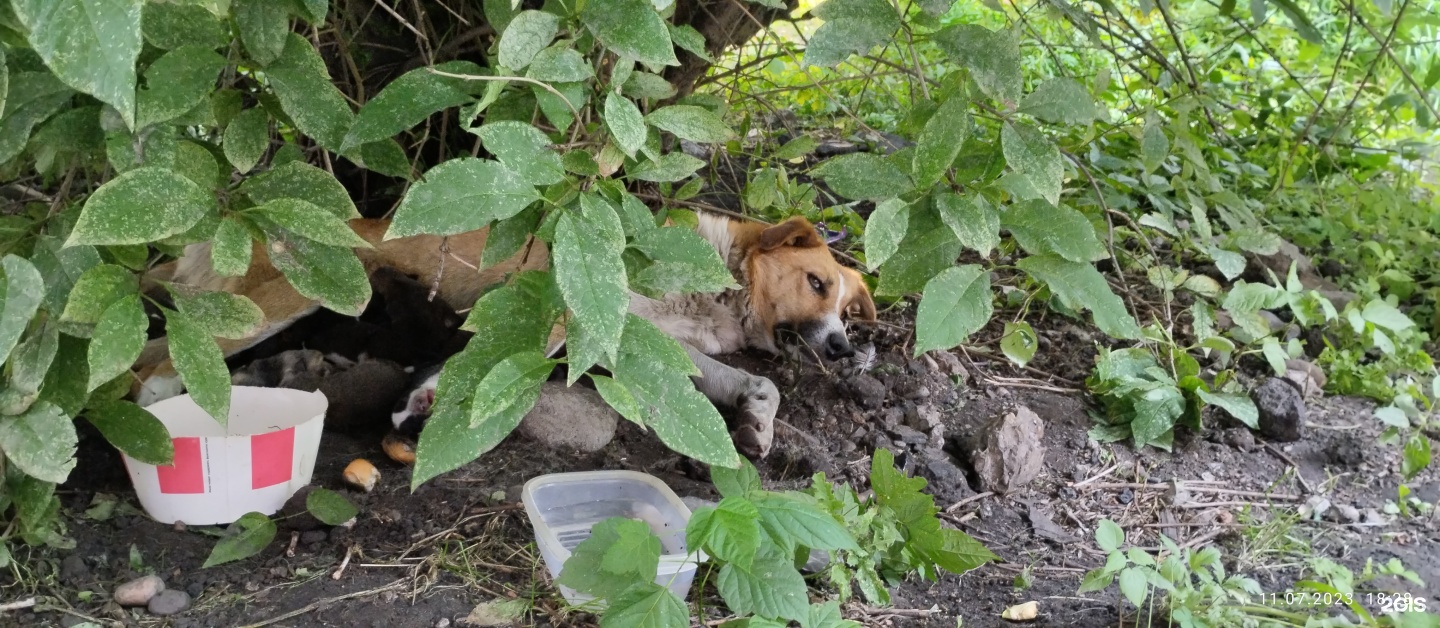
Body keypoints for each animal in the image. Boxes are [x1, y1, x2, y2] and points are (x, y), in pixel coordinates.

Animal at [135, 213, 875, 458]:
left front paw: (756, 423)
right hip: (269, 305)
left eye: (848, 308)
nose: (844, 346)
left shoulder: (645, 343)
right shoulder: (573, 309)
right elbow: (502, 352)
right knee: (148, 369)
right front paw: (429, 397)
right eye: (816, 282)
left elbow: (755, 383)